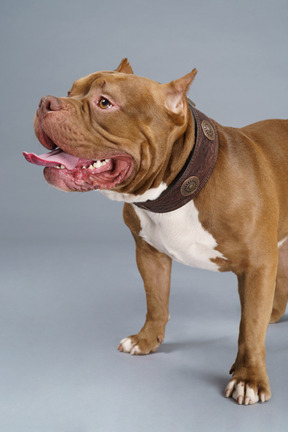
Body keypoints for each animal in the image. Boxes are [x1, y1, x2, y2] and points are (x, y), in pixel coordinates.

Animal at [23, 60, 288, 404]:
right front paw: (146, 340)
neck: (178, 188)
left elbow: (250, 327)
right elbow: (156, 301)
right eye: (69, 91)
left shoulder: (257, 266)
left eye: (104, 103)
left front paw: (249, 378)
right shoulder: (150, 254)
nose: (46, 102)